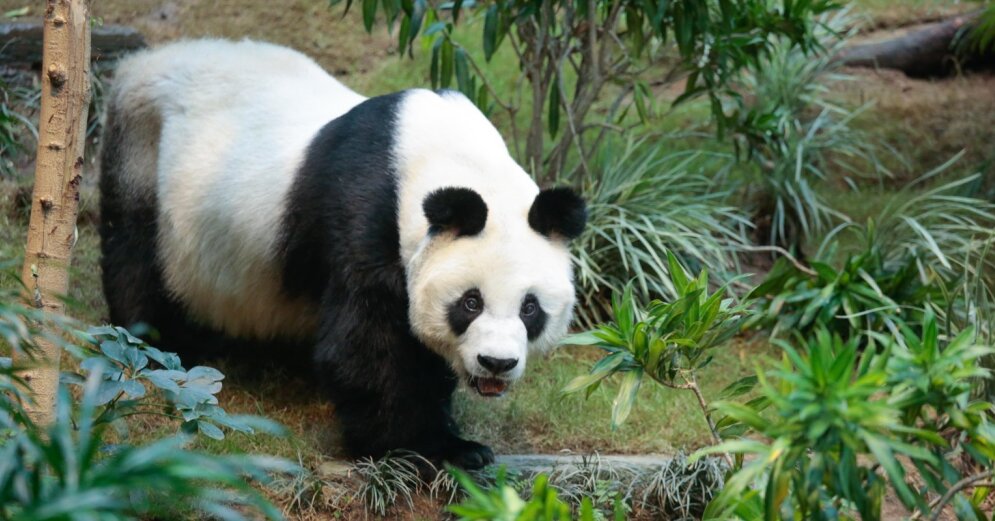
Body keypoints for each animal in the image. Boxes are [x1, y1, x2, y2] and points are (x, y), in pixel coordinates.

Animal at [98, 40, 588, 468]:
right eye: (470, 302)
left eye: (530, 309)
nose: (496, 363)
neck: (446, 154)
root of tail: (140, 61)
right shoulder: (365, 210)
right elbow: (365, 343)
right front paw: (430, 447)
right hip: (143, 155)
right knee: (137, 258)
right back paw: (159, 346)